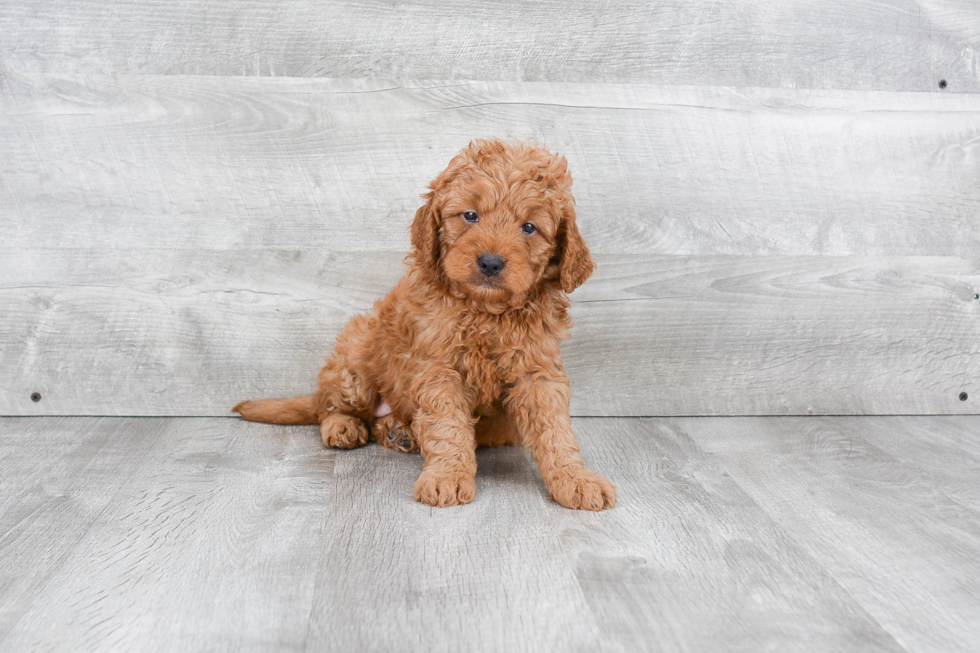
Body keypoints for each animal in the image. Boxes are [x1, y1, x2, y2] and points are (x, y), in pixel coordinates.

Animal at [234, 139, 616, 510]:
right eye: (470, 215)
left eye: (529, 227)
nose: (490, 262)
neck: (486, 312)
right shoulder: (439, 369)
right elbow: (447, 426)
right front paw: (447, 476)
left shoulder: (538, 372)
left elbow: (555, 431)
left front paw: (575, 478)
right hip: (356, 361)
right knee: (327, 406)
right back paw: (344, 426)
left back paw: (398, 431)